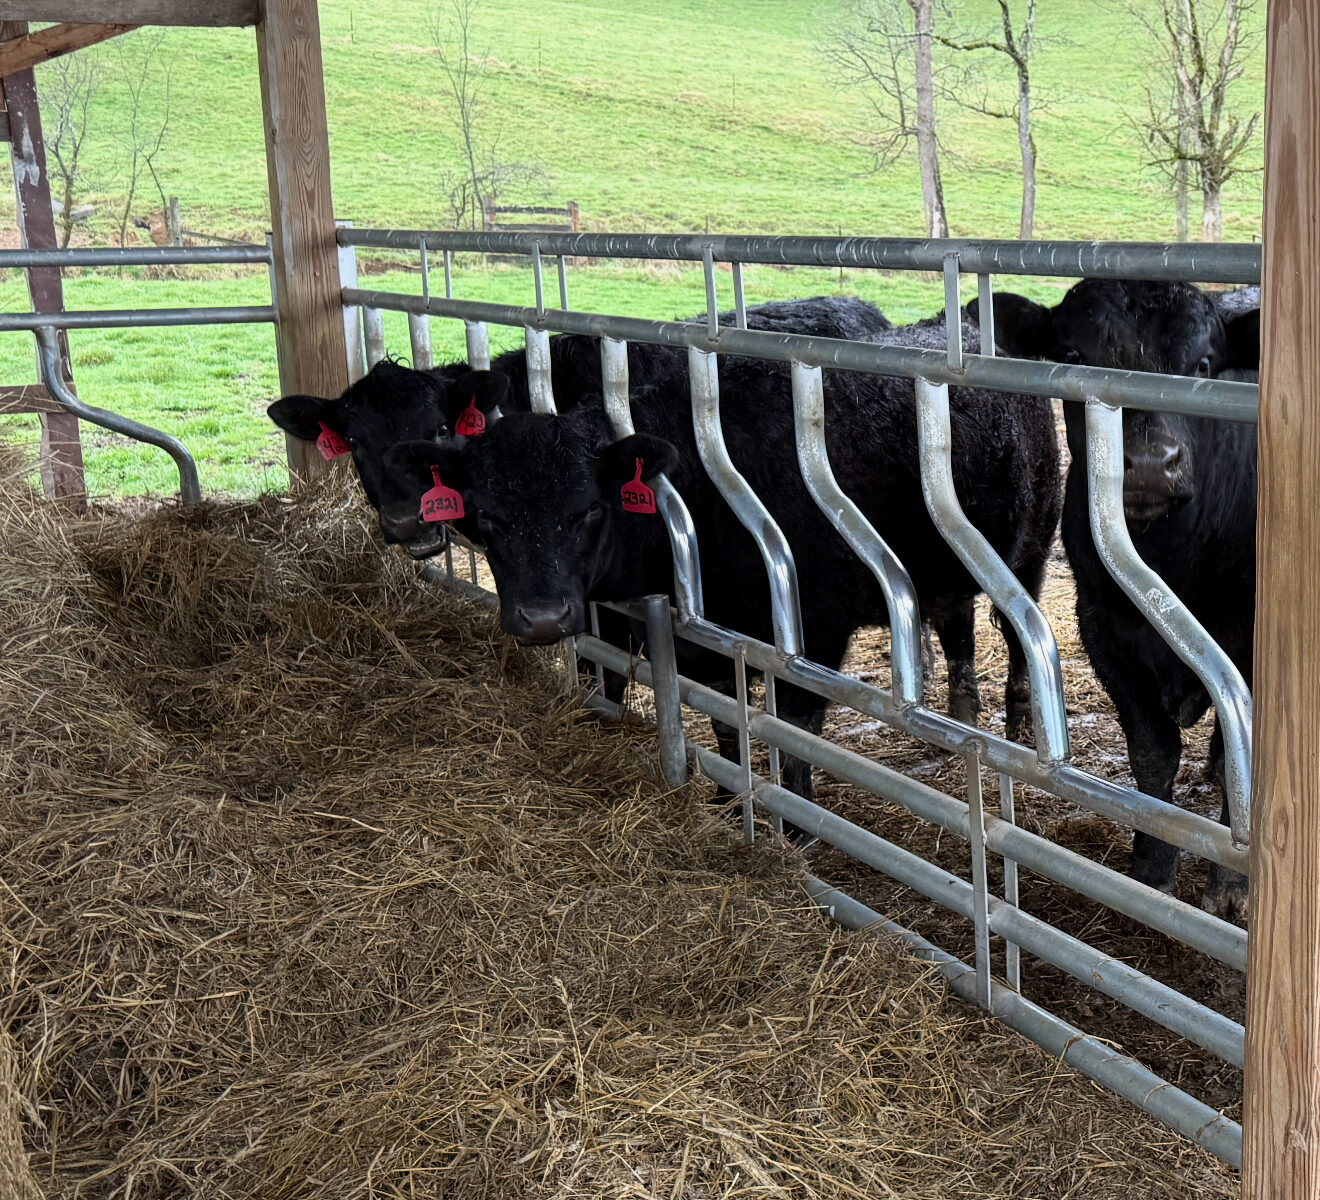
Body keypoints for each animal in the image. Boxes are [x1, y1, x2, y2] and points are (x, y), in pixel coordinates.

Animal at [380, 313, 1061, 819]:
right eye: (487, 516)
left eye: (588, 509)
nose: (542, 617)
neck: (704, 487)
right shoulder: (704, 641)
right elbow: (727, 728)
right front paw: (731, 803)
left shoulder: (812, 634)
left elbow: (793, 736)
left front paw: (794, 826)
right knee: (956, 628)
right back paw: (962, 717)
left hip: (1027, 554)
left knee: (1017, 639)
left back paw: (1021, 726)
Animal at [977, 278, 1260, 918]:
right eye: (1074, 356)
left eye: (1203, 365)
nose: (1151, 465)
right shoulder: (1104, 630)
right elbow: (1153, 752)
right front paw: (1151, 869)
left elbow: (1241, 757)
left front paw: (1231, 887)